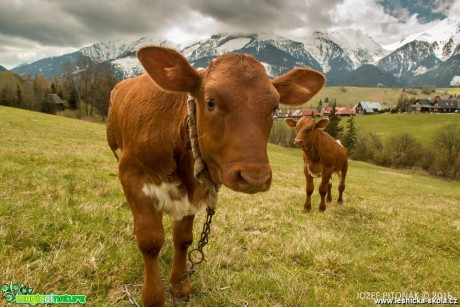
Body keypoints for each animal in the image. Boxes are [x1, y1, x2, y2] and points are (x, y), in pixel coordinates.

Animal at [106, 45, 326, 306]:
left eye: (274, 109)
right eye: (210, 102)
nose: (255, 177)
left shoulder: (195, 189)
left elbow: (183, 239)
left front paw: (179, 284)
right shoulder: (132, 176)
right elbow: (150, 241)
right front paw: (153, 297)